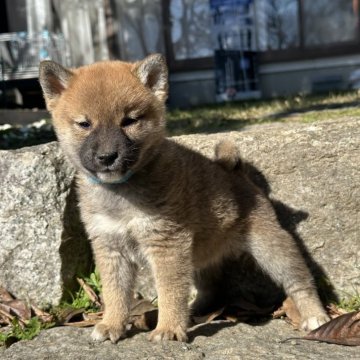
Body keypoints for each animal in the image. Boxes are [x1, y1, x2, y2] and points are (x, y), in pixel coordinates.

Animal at [39, 54, 330, 344]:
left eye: (130, 121)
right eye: (84, 124)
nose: (107, 156)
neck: (121, 192)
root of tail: (235, 171)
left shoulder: (167, 244)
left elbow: (170, 292)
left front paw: (168, 328)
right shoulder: (110, 247)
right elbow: (115, 293)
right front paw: (112, 324)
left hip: (271, 248)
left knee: (300, 280)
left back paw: (315, 316)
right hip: (200, 254)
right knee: (211, 289)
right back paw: (194, 311)